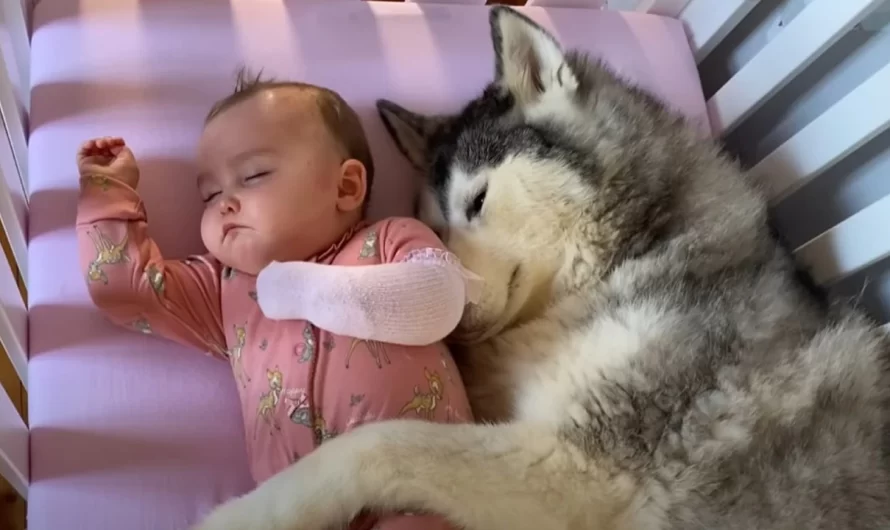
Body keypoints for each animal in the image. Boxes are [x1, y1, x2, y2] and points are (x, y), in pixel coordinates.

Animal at [196, 5, 888, 528]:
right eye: (435, 227)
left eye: (477, 201)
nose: (443, 321)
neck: (634, 254)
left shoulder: (582, 470)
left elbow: (378, 443)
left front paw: (245, 515)